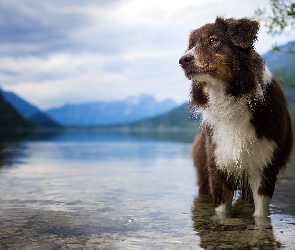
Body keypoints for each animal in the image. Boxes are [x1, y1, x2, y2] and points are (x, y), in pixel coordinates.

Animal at [180, 17, 294, 217]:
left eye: (213, 40)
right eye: (191, 46)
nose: (182, 60)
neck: (230, 100)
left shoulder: (264, 167)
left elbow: (261, 212)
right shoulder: (219, 163)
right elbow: (221, 211)